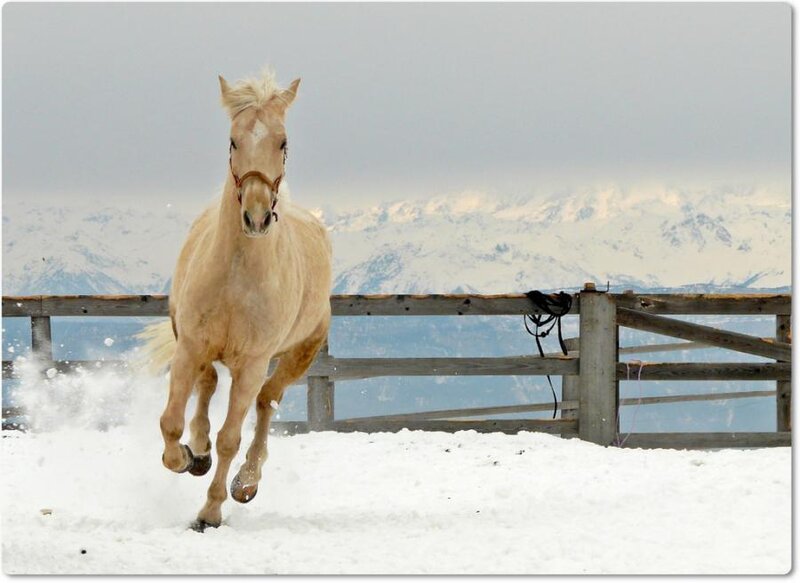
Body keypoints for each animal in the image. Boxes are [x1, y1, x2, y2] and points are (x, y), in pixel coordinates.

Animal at [140, 69, 332, 531]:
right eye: (233, 141)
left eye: (282, 142)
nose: (257, 216)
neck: (236, 277)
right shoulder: (190, 345)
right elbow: (171, 421)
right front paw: (188, 456)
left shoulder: (253, 364)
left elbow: (231, 436)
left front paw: (209, 512)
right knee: (208, 383)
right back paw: (199, 451)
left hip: (299, 354)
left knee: (266, 402)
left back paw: (246, 482)